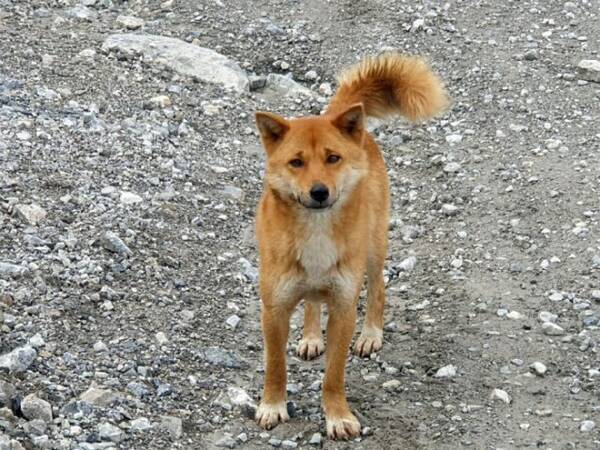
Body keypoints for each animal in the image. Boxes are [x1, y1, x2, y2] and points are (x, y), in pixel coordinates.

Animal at [252, 52, 446, 440]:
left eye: (332, 158)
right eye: (296, 162)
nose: (319, 192)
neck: (315, 231)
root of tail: (337, 115)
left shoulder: (343, 305)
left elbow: (334, 374)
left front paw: (337, 416)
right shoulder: (274, 308)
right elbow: (275, 365)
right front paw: (273, 405)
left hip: (373, 248)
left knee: (379, 289)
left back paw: (371, 334)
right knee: (312, 302)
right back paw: (311, 336)